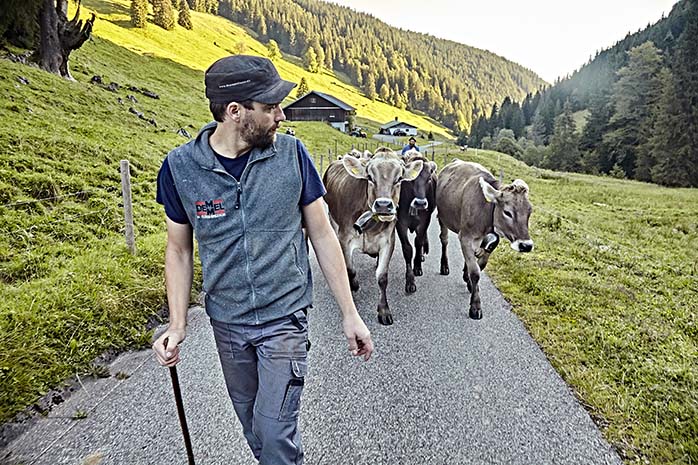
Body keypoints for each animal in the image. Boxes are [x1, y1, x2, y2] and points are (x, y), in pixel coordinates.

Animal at [322, 148, 424, 322]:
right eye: (369, 177)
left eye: (399, 178)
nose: (383, 205)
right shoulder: (345, 238)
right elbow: (350, 269)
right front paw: (354, 285)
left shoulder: (388, 241)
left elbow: (382, 277)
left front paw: (383, 310)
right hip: (332, 218)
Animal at [436, 160, 532, 320]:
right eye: (507, 212)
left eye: (530, 212)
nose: (526, 245)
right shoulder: (465, 237)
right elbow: (475, 272)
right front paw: (475, 306)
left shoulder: (489, 241)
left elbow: (480, 265)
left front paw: (469, 282)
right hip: (443, 218)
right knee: (444, 240)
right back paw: (444, 266)